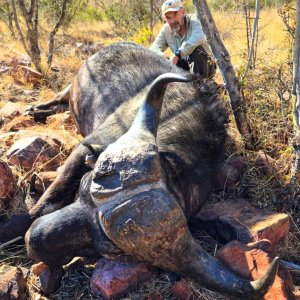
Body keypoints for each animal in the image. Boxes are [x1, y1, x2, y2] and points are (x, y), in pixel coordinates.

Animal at [0, 42, 278, 300]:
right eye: (83, 187)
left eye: (106, 249)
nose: (33, 240)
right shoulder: (85, 149)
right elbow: (44, 203)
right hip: (68, 89)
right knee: (58, 100)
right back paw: (35, 110)